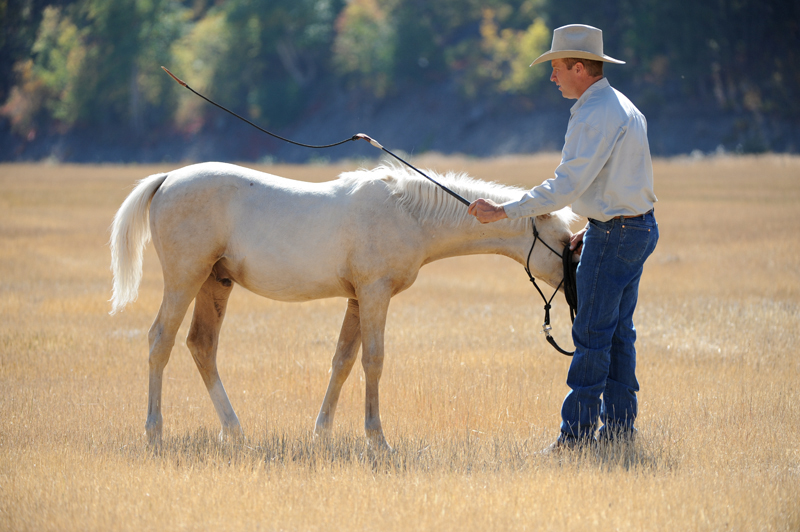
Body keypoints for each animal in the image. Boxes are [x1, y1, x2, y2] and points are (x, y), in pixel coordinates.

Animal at [109, 161, 576, 449]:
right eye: (565, 241)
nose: (573, 293)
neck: (408, 213)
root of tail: (168, 179)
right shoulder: (374, 294)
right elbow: (373, 361)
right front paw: (378, 439)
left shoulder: (356, 299)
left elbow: (343, 361)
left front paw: (322, 433)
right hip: (185, 279)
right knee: (160, 342)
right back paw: (154, 433)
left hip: (215, 283)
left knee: (202, 346)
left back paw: (235, 431)